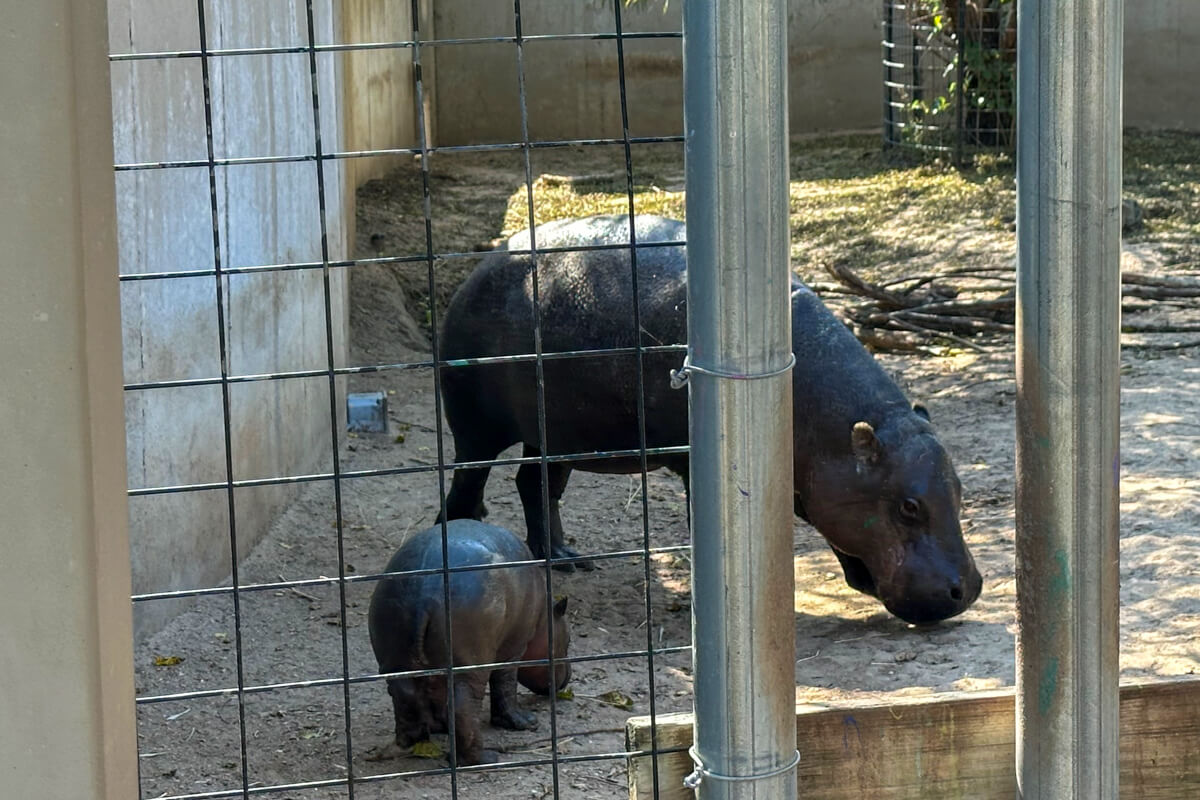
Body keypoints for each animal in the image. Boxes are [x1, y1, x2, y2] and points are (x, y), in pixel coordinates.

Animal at [367, 519, 571, 765]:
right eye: (568, 641)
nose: (566, 679)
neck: (543, 618)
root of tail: (424, 594)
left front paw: (440, 725)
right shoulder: (513, 649)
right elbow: (505, 684)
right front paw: (526, 722)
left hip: (395, 659)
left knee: (405, 694)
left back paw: (413, 740)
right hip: (471, 664)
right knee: (463, 705)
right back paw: (484, 758)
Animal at [436, 214, 982, 624]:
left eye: (959, 489)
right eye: (909, 507)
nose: (970, 589)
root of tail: (479, 269)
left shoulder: (814, 481)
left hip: (559, 435)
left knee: (535, 483)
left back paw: (568, 560)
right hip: (478, 428)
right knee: (469, 482)